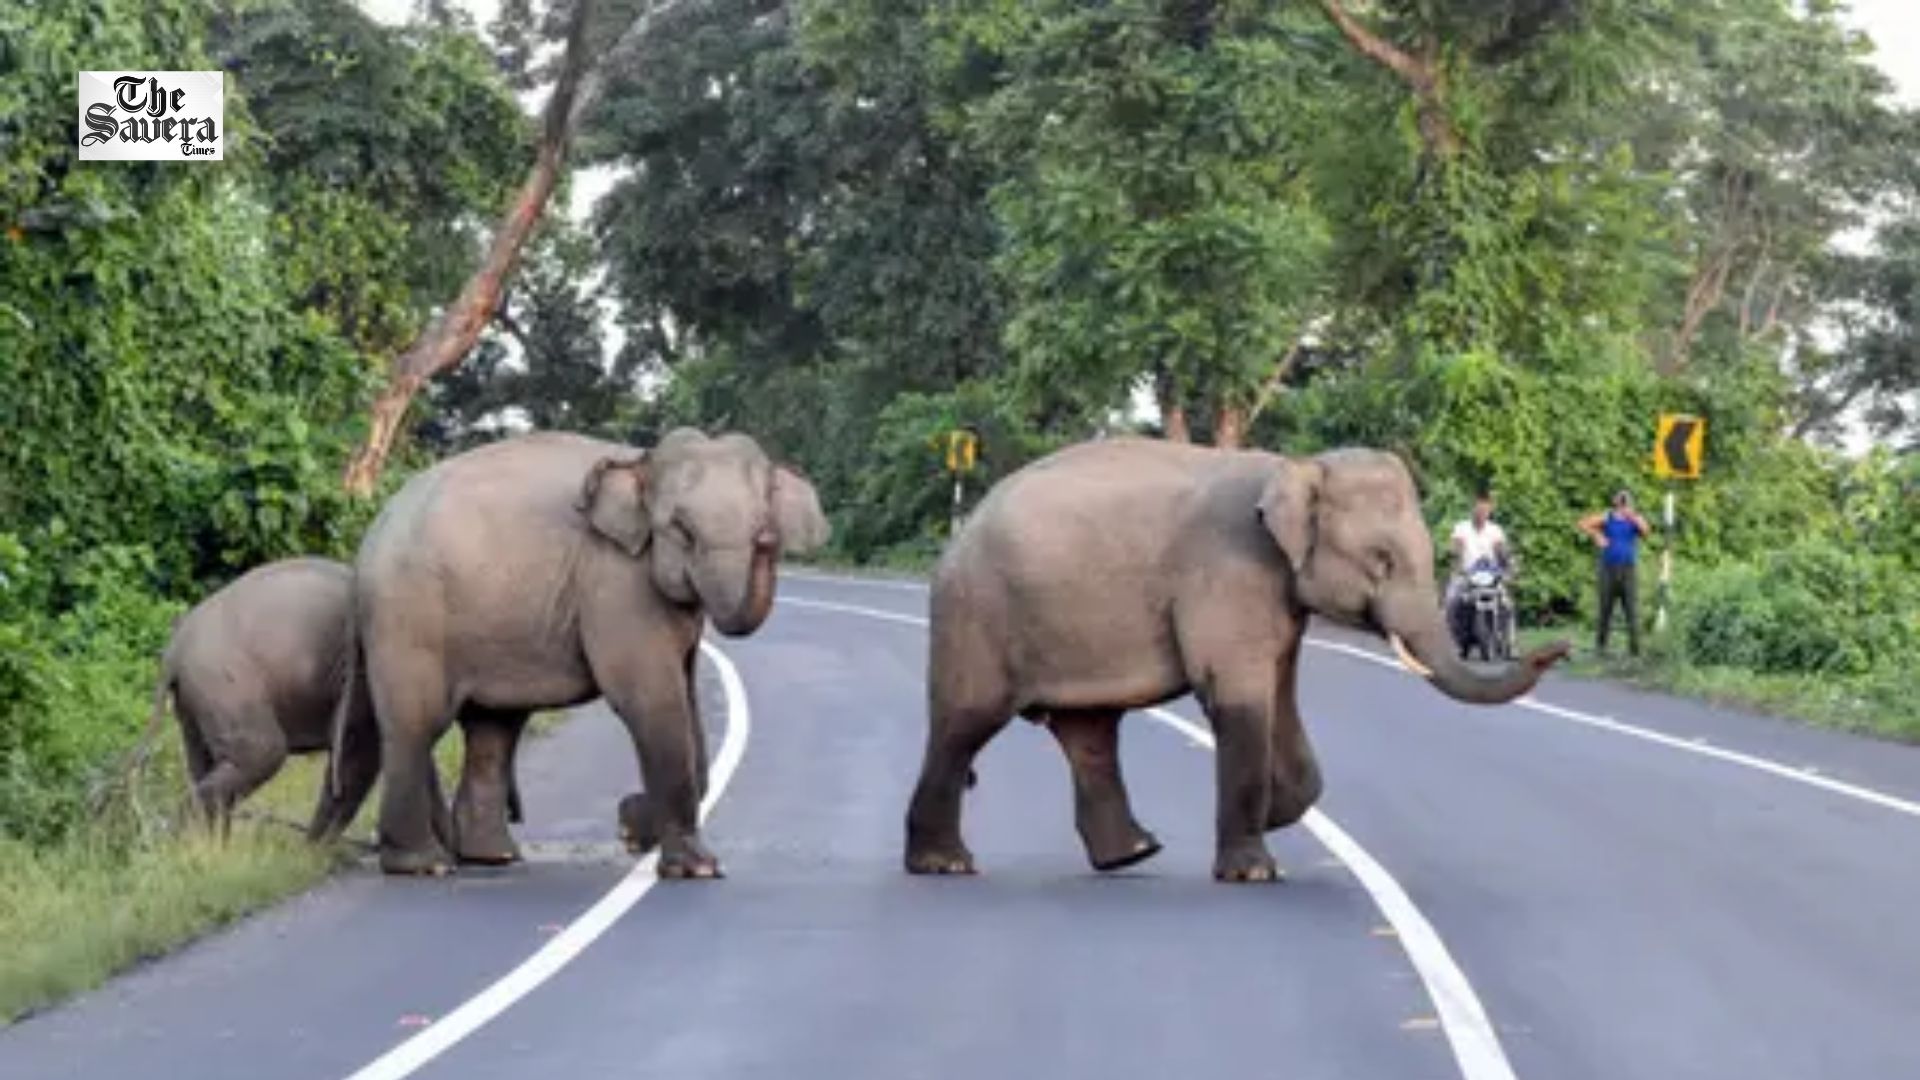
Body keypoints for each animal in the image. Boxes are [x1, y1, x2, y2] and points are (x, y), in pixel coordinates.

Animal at [343, 428, 828, 877]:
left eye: (763, 524)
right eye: (682, 531)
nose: (768, 538)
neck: (643, 461)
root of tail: (369, 537)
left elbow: (687, 706)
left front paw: (635, 826)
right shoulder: (616, 579)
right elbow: (649, 699)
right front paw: (693, 866)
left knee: (493, 728)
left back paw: (492, 857)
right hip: (407, 615)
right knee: (417, 724)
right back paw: (424, 865)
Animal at [904, 438, 1570, 882]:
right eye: (1381, 560)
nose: (1559, 649)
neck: (1295, 467)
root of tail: (961, 532)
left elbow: (1280, 695)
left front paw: (1274, 815)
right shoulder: (1230, 571)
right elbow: (1238, 694)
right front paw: (1254, 870)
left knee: (1089, 733)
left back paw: (1133, 854)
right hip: (977, 613)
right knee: (966, 723)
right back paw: (945, 865)